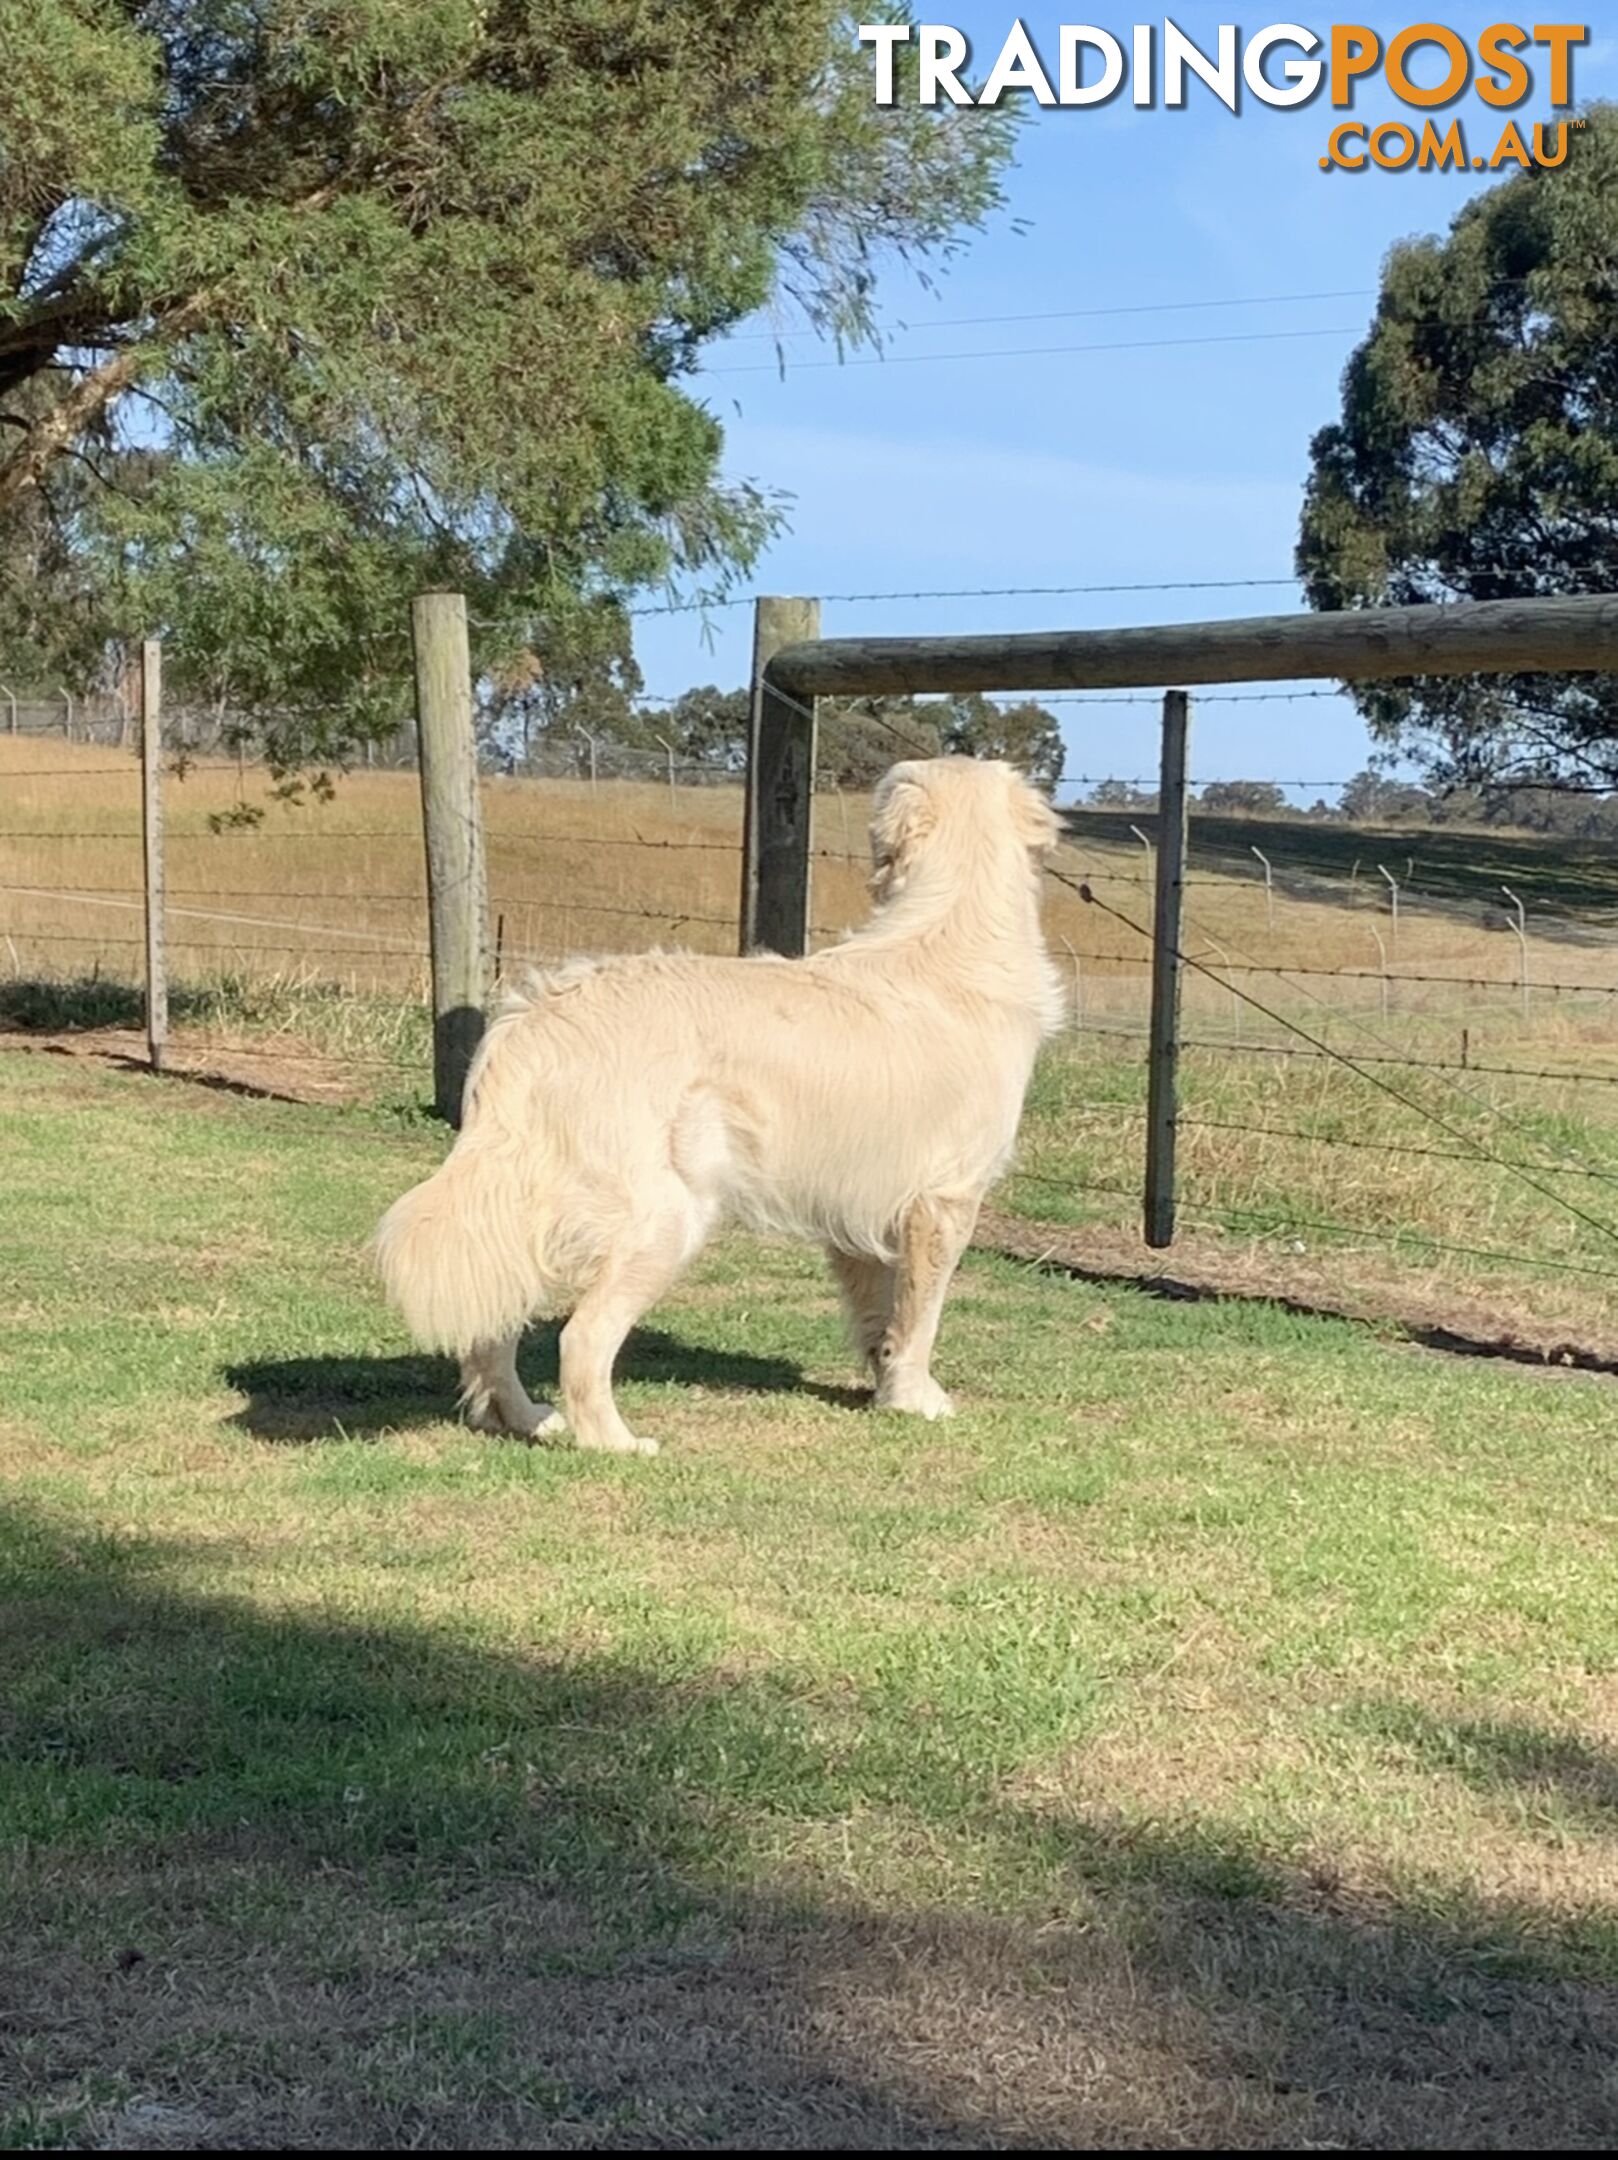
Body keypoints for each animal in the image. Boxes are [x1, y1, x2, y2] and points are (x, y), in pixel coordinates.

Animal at [371, 756, 1067, 1451]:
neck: (953, 924)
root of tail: (538, 1014)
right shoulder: (943, 1202)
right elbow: (920, 1316)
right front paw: (919, 1399)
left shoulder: (860, 1207)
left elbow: (881, 1318)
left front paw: (887, 1389)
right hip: (664, 1217)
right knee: (581, 1338)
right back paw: (616, 1442)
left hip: (529, 1209)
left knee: (494, 1323)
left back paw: (524, 1417)